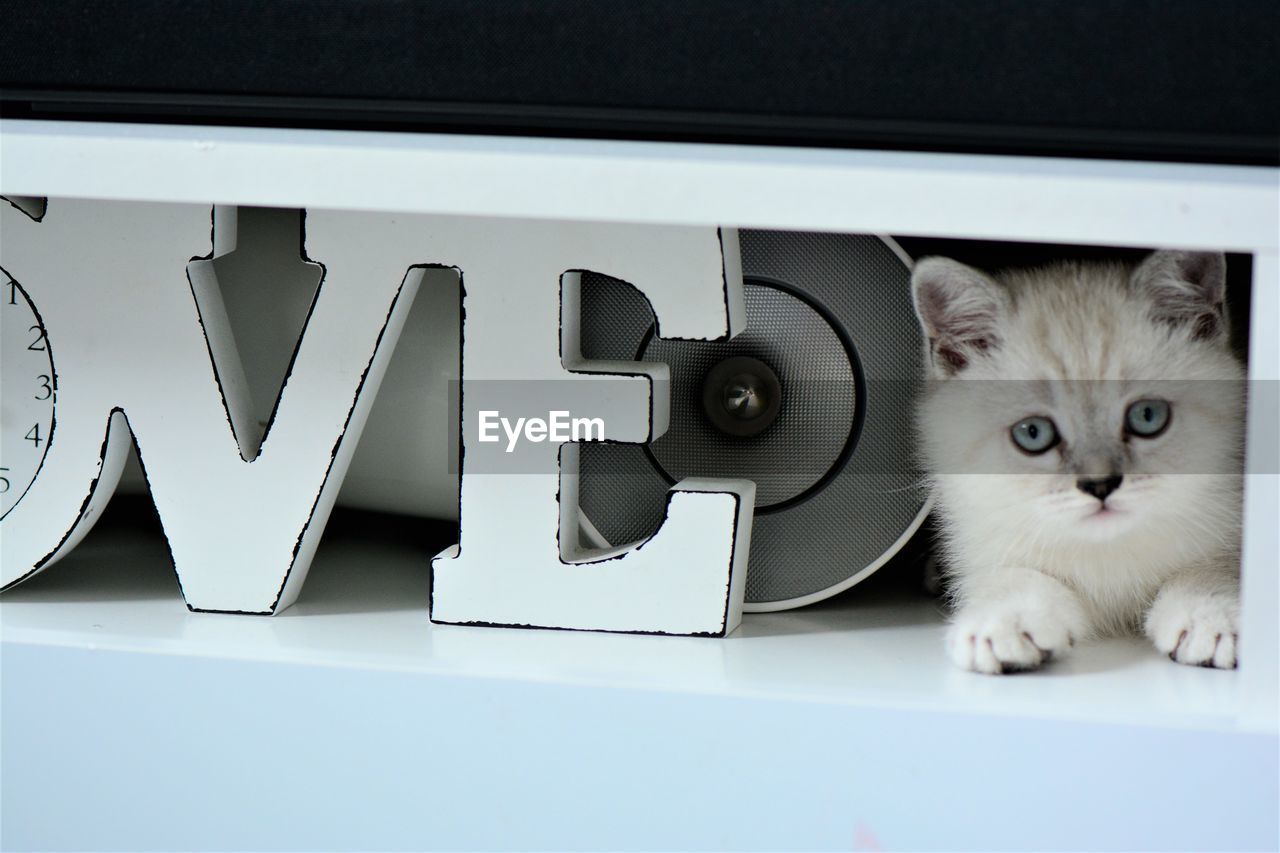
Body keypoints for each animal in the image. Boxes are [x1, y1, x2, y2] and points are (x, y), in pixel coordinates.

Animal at [911, 249, 1249, 676]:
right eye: (1033, 433)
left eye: (1148, 416)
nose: (1099, 485)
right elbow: (1014, 577)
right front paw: (1003, 622)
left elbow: (1211, 567)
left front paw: (1209, 613)